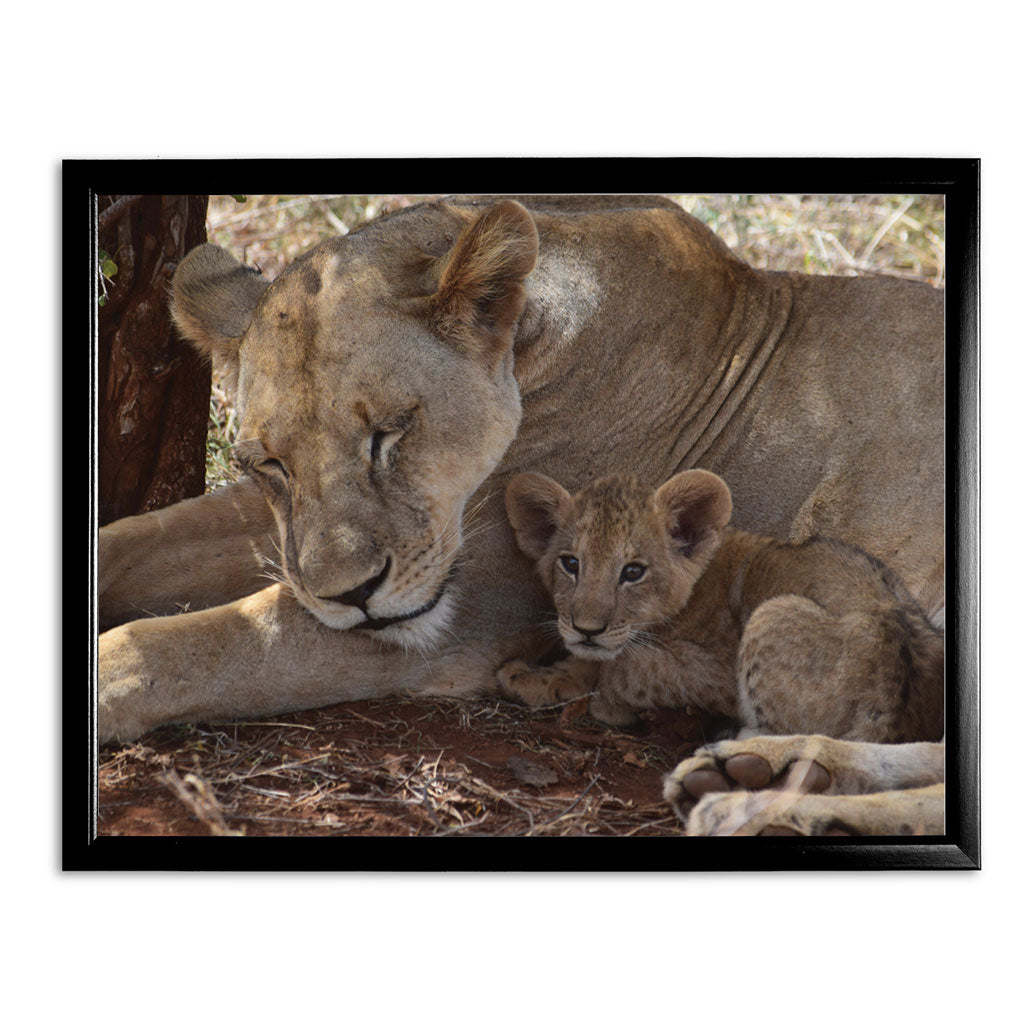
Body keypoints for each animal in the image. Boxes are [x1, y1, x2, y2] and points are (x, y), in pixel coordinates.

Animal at [498, 469, 945, 835]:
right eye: (570, 563)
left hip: (773, 612)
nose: (586, 628)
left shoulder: (717, 671)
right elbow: (601, 659)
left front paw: (587, 694)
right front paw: (542, 675)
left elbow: (625, 665)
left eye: (633, 572)